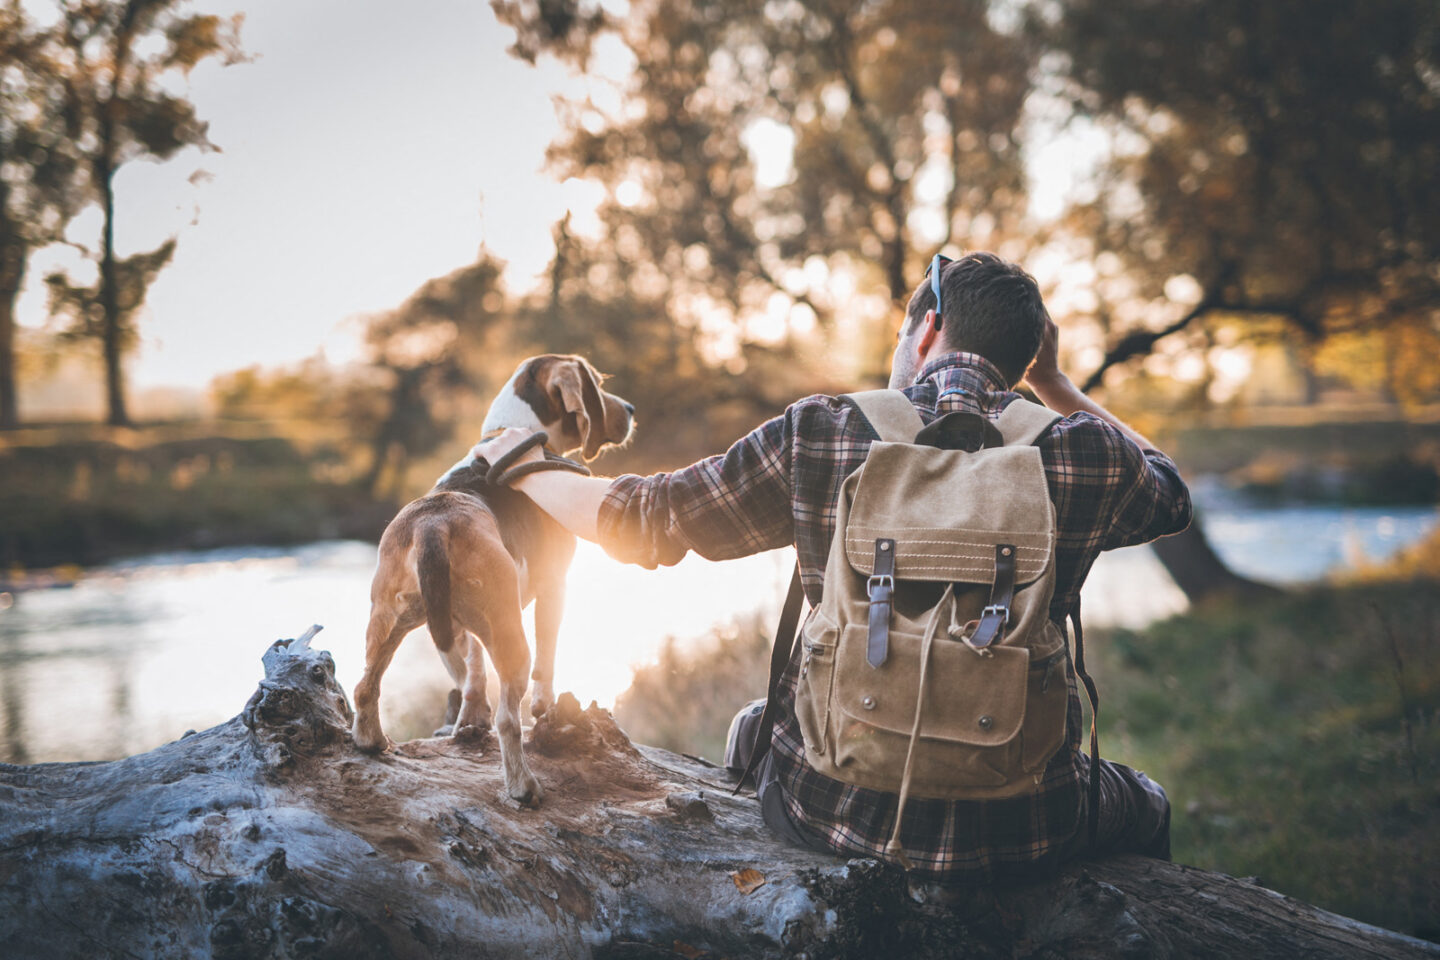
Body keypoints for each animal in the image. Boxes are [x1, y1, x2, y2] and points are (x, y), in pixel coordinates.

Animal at [351, 352, 633, 805]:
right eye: (597, 382)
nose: (630, 409)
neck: (511, 430)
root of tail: (434, 522)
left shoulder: (466, 628)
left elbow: (473, 673)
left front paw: (469, 719)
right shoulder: (555, 587)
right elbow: (547, 662)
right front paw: (543, 706)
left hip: (390, 621)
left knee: (365, 686)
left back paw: (371, 741)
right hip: (511, 637)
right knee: (509, 719)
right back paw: (523, 787)